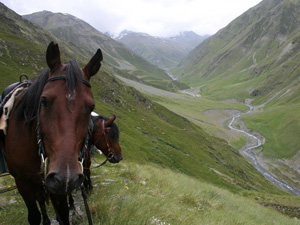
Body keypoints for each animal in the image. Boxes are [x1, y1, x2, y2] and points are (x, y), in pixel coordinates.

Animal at [2, 41, 103, 224]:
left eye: (91, 107)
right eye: (43, 101)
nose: (67, 178)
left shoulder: (57, 188)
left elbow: (63, 214)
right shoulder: (22, 182)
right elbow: (34, 216)